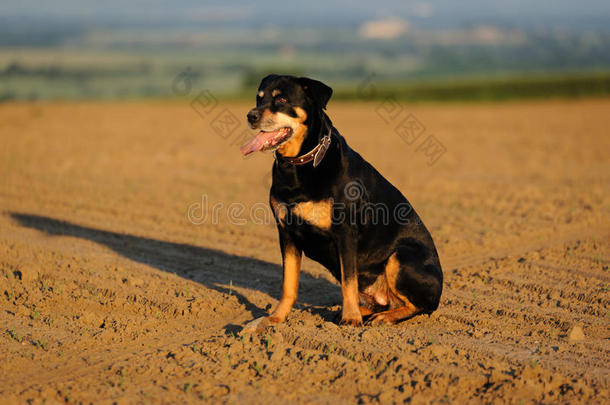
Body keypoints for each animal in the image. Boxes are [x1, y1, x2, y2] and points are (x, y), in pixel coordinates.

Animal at [239, 73, 442, 326]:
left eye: (282, 99)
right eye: (259, 98)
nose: (251, 116)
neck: (300, 164)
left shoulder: (345, 231)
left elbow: (348, 282)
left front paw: (351, 320)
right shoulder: (286, 232)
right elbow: (288, 284)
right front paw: (275, 318)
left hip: (402, 256)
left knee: (419, 306)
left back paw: (383, 317)